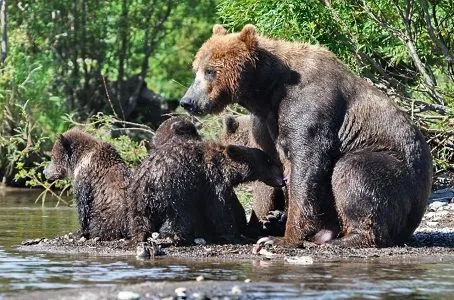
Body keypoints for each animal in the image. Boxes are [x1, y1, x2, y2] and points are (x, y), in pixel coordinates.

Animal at [127, 116, 284, 245]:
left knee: (140, 221)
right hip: (173, 191)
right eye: (269, 161)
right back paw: (175, 236)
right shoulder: (212, 181)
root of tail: (149, 184)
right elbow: (220, 210)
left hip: (139, 202)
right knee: (180, 217)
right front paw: (237, 234)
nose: (283, 179)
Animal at [180, 24, 432, 248]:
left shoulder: (309, 106)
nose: (187, 101)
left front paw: (281, 238)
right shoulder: (269, 123)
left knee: (353, 172)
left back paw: (346, 238)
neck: (268, 90)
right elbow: (276, 165)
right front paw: (270, 222)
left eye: (210, 71)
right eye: (196, 69)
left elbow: (307, 163)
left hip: (394, 169)